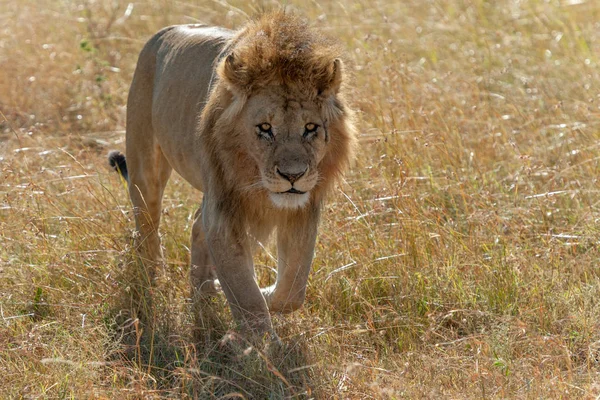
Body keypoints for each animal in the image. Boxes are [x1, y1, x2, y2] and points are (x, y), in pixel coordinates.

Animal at [108, 10, 356, 336]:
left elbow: (292, 289)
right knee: (147, 227)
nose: (293, 176)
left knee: (195, 225)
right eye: (265, 128)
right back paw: (151, 281)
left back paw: (203, 290)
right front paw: (263, 345)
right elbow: (245, 295)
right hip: (144, 165)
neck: (256, 181)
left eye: (310, 128)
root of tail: (162, 33)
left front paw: (264, 295)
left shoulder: (304, 208)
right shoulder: (224, 211)